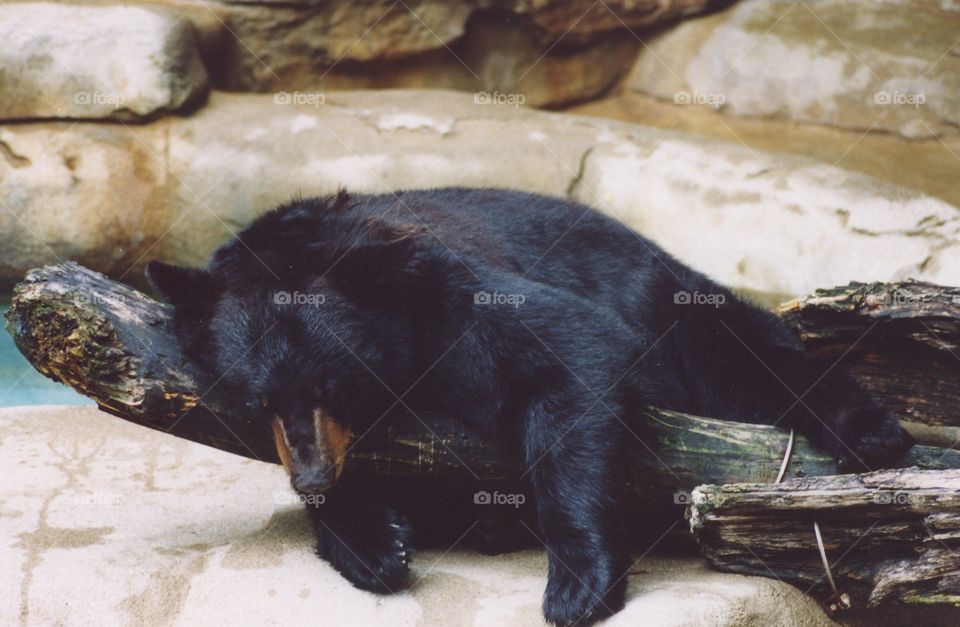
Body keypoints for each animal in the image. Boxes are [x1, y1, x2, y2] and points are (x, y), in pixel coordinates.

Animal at [146, 187, 913, 626]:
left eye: (328, 386)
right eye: (258, 398)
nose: (312, 476)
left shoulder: (459, 296)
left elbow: (575, 352)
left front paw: (579, 584)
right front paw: (373, 541)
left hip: (677, 305)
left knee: (752, 356)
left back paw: (874, 435)